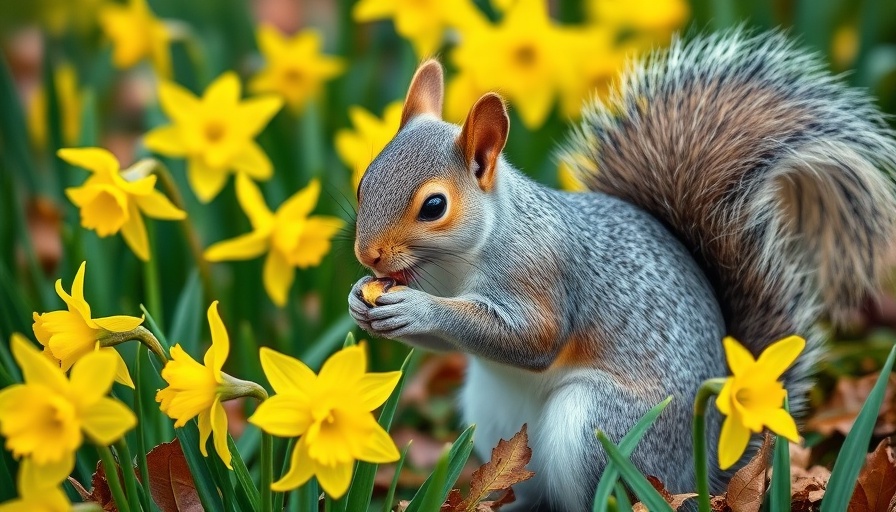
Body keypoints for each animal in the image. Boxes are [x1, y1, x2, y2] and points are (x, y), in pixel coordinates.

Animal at [347, 30, 896, 511]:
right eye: (362, 182)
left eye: (434, 206)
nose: (367, 256)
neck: (455, 265)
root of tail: (700, 472)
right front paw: (362, 300)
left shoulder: (542, 273)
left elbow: (533, 339)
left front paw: (418, 309)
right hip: (494, 413)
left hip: (600, 428)